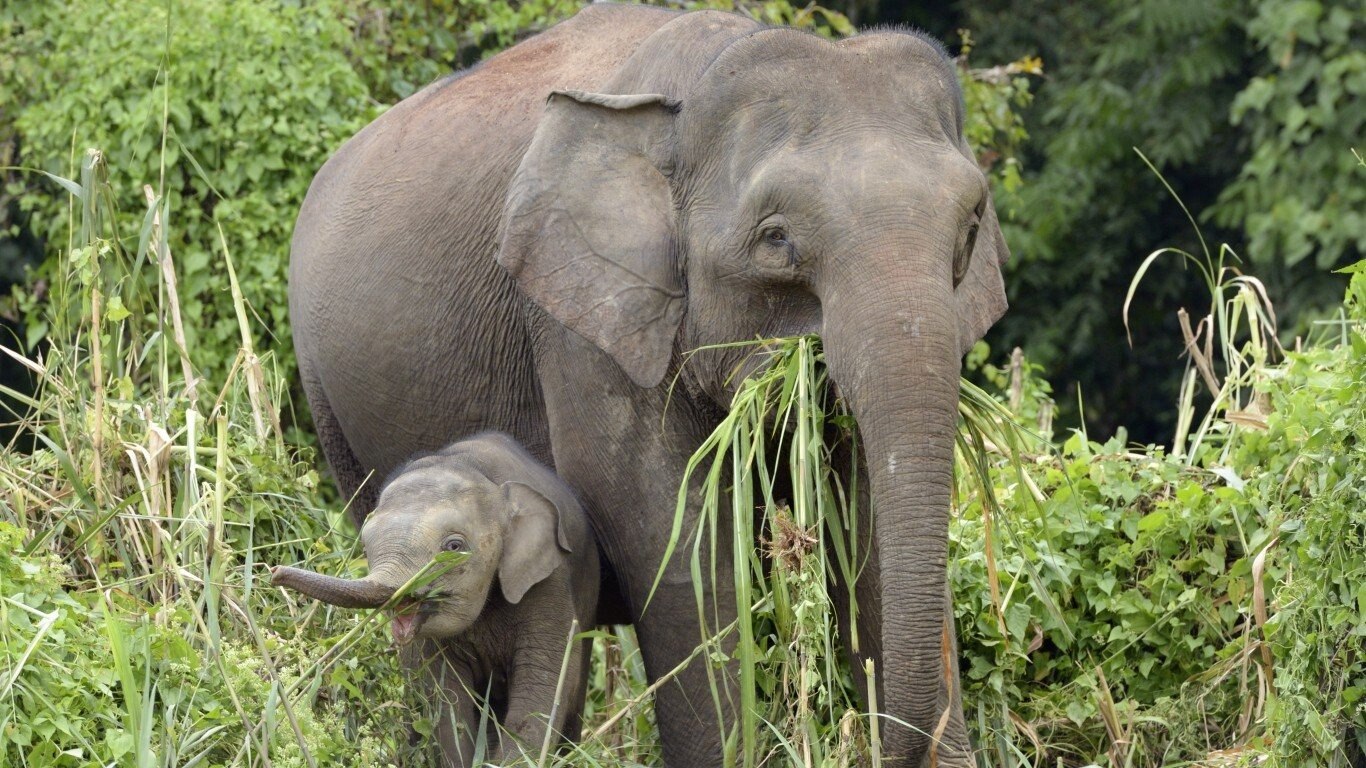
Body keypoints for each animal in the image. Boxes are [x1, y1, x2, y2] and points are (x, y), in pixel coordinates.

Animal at [271, 431, 598, 759]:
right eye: (364, 546)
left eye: (454, 547)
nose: (274, 572)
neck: (477, 470)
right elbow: (444, 698)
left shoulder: (548, 584)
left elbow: (540, 687)